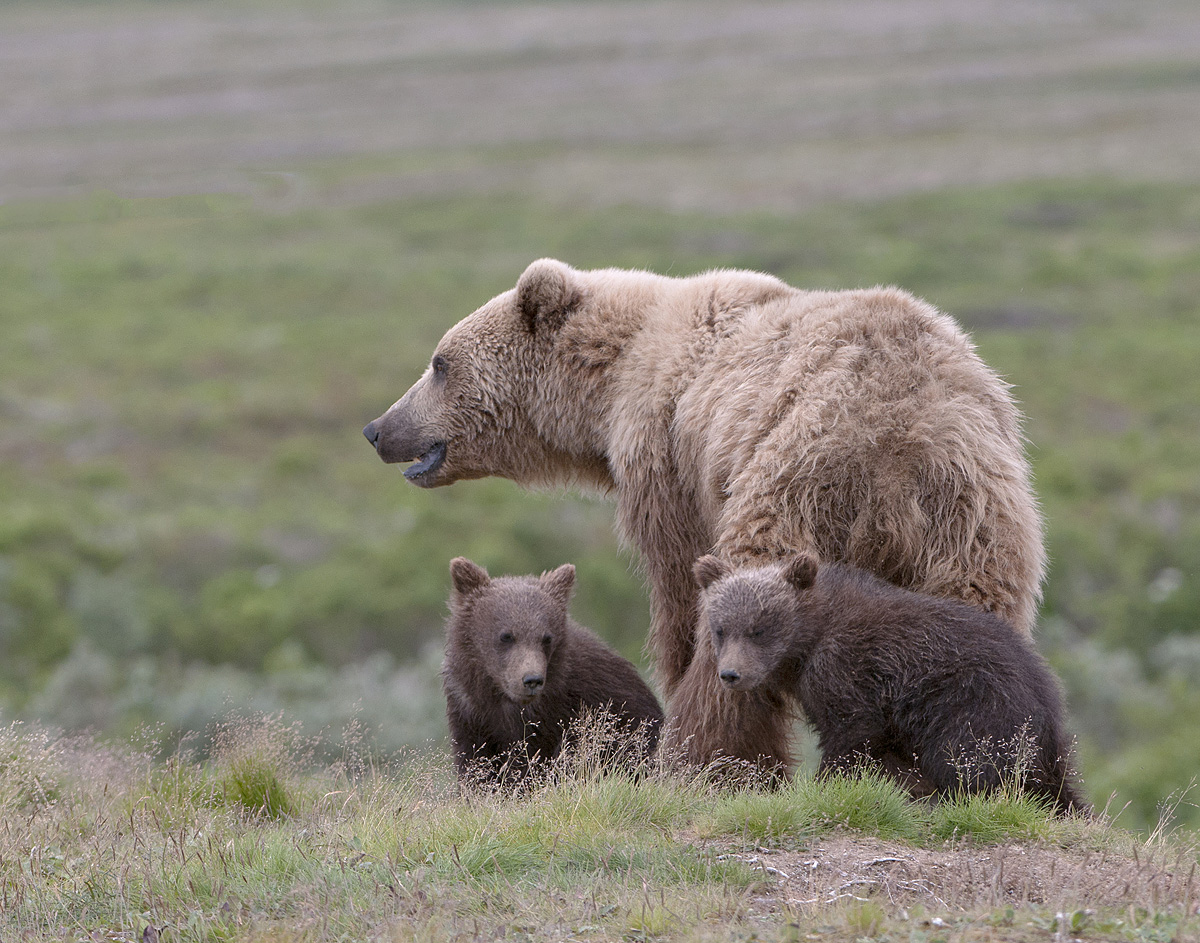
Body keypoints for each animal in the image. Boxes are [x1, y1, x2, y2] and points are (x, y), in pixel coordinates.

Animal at [693, 553, 1087, 815]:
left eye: (759, 629)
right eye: (721, 629)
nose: (731, 674)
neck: (808, 642)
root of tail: (1048, 700)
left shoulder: (846, 670)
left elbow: (851, 733)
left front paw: (823, 786)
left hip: (976, 705)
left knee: (970, 761)